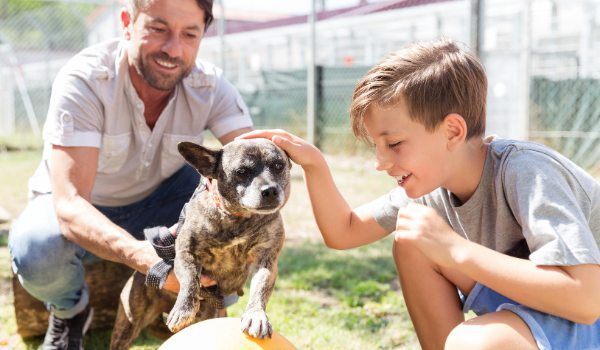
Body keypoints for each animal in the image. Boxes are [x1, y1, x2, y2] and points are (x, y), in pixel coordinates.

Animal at [111, 138, 292, 348]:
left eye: (279, 166)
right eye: (241, 171)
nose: (270, 190)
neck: (237, 218)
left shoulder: (266, 261)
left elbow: (260, 289)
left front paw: (256, 316)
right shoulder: (186, 254)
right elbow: (191, 280)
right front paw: (184, 309)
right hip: (128, 324)